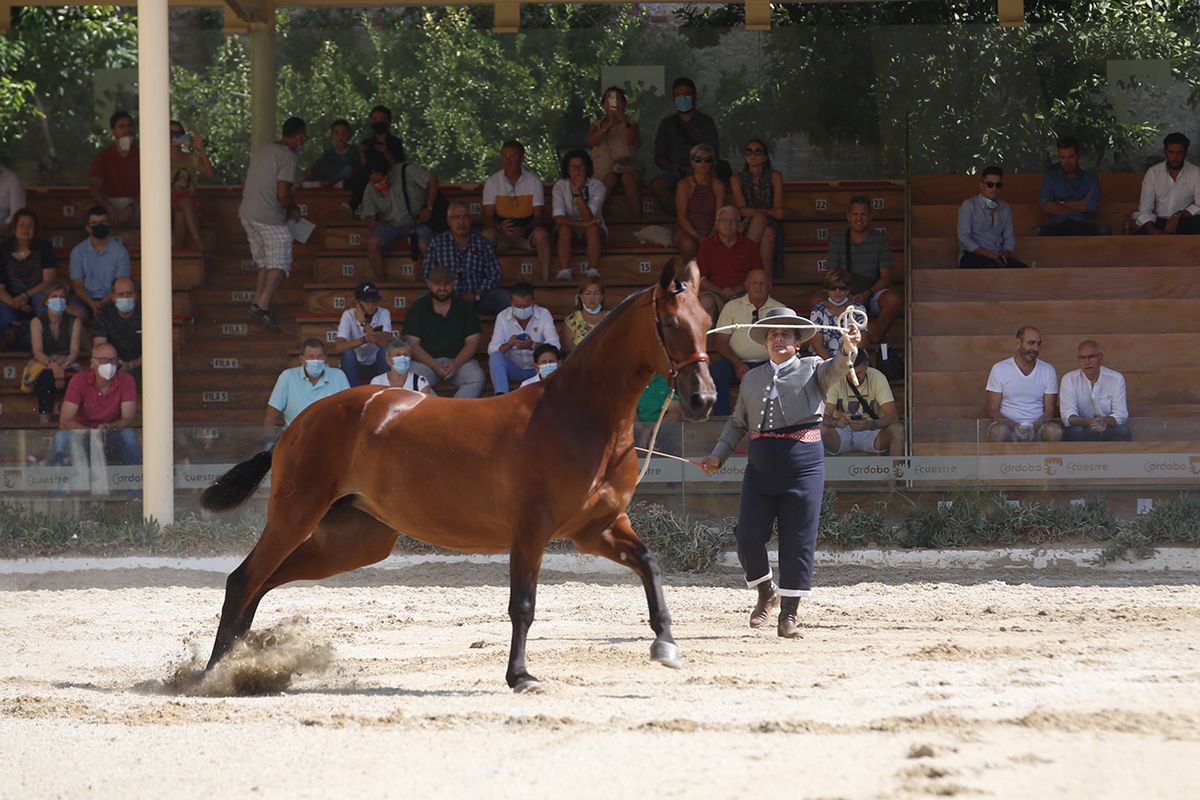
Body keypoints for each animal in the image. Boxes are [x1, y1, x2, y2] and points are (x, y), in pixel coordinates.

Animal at [201, 257, 715, 695]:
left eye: (707, 322)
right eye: (672, 324)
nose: (704, 400)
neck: (578, 415)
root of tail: (299, 424)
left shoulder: (596, 528)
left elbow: (649, 563)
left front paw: (666, 645)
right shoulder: (532, 530)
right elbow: (522, 604)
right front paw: (520, 676)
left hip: (355, 541)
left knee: (265, 581)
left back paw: (238, 664)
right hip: (296, 515)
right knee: (244, 580)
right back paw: (212, 674)